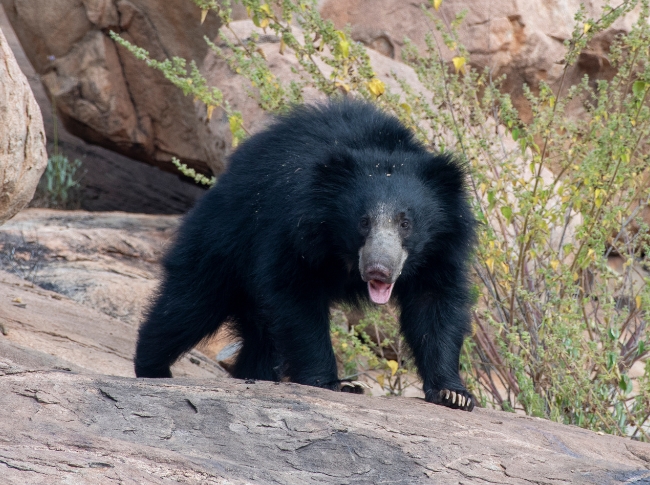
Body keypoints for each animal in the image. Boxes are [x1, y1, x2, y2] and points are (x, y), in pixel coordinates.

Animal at [134, 100, 477, 411]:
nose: (378, 270)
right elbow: (296, 297)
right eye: (363, 221)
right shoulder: (294, 231)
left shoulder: (442, 250)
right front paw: (332, 384)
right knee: (189, 304)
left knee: (258, 337)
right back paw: (152, 368)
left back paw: (252, 376)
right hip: (224, 238)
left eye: (406, 223)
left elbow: (434, 305)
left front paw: (454, 394)